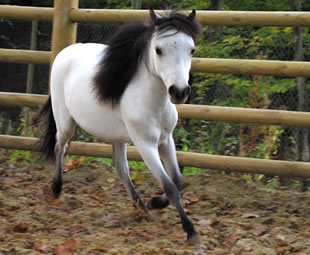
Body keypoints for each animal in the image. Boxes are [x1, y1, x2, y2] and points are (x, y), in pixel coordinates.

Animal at [35, 9, 202, 245]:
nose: (179, 92)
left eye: (191, 50)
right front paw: (190, 231)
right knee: (61, 147)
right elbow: (170, 186)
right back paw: (57, 188)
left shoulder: (165, 140)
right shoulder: (145, 145)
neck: (154, 102)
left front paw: (154, 203)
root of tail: (64, 52)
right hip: (65, 123)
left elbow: (178, 180)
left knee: (121, 168)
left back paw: (141, 208)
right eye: (158, 50)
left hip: (117, 137)